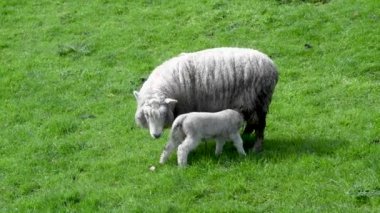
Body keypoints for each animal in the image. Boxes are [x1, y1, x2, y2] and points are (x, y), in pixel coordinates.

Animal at [135, 47, 278, 152]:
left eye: (164, 113)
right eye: (146, 115)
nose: (156, 135)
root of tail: (271, 66)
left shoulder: (185, 111)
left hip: (258, 100)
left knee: (259, 124)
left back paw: (256, 148)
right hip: (251, 103)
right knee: (251, 123)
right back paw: (244, 137)